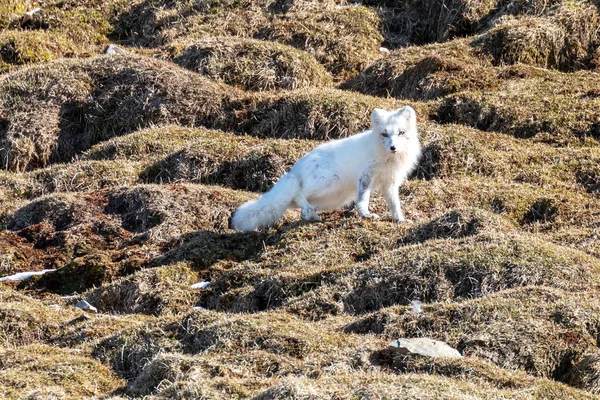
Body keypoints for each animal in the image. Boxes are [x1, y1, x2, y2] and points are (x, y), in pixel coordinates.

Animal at [230, 106, 422, 231]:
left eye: (401, 133)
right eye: (384, 134)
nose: (393, 147)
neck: (389, 159)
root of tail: (297, 167)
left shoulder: (390, 182)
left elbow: (394, 203)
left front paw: (399, 219)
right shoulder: (366, 176)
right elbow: (363, 199)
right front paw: (366, 214)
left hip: (333, 197)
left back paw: (310, 215)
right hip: (329, 183)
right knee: (298, 193)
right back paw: (310, 213)